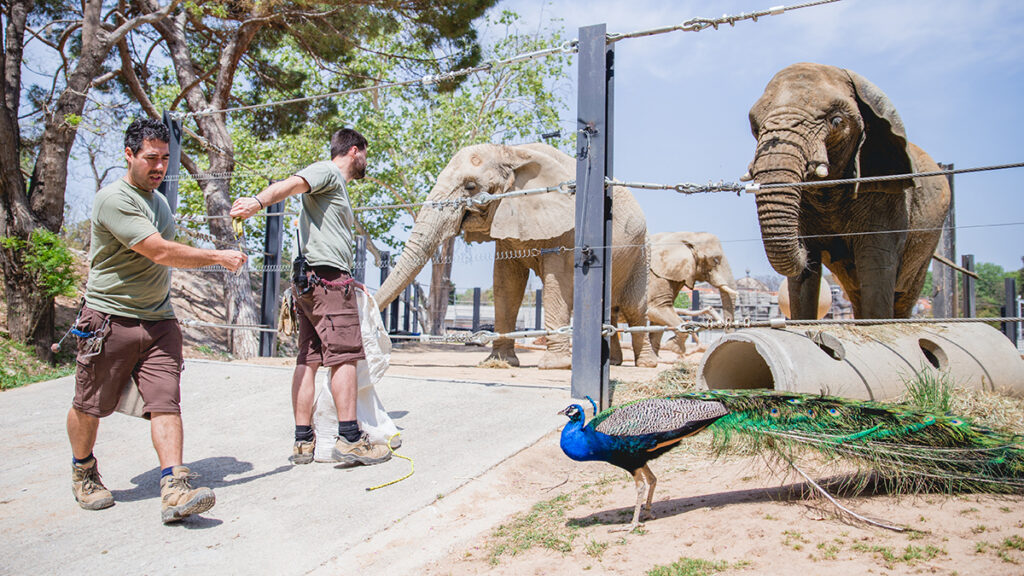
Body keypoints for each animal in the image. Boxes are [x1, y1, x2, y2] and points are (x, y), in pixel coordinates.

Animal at [374, 142, 655, 366]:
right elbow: (506, 283)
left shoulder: (568, 227)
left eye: (470, 186)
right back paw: (615, 363)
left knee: (634, 308)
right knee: (613, 310)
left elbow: (557, 282)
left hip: (641, 252)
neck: (513, 152)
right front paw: (499, 362)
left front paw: (553, 366)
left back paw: (645, 364)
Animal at [745, 62, 950, 317]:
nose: (802, 247)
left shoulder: (888, 192)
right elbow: (803, 285)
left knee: (903, 294)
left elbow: (876, 264)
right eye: (755, 127)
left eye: (836, 121)